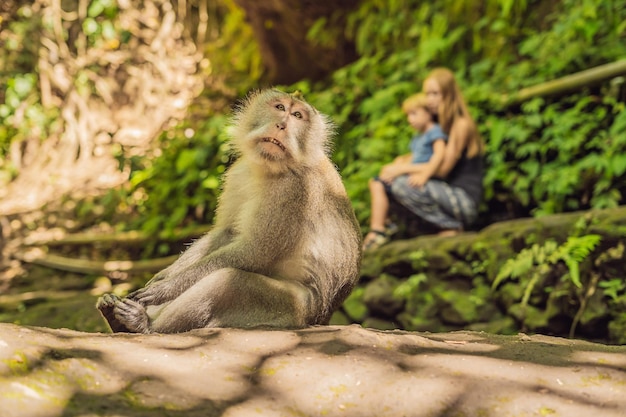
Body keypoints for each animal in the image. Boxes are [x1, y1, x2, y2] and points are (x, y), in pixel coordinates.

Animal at [97, 89, 360, 334]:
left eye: (297, 116)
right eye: (280, 107)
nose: (282, 125)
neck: (269, 168)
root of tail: (322, 317)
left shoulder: (294, 190)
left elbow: (253, 252)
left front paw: (164, 289)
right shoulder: (239, 173)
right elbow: (227, 233)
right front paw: (161, 277)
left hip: (287, 310)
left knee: (228, 282)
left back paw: (144, 325)